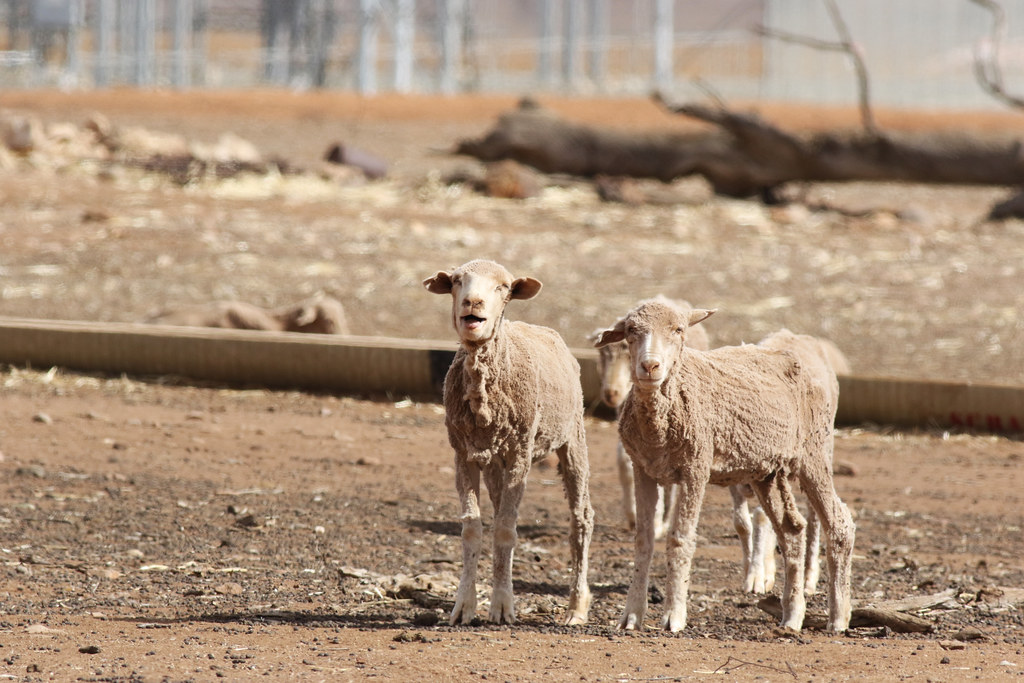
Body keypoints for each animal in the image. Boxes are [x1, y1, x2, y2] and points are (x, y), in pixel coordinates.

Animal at [424, 259, 594, 626]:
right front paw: (465, 605)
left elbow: (504, 529)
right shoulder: (464, 453)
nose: (472, 303)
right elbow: (473, 528)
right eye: (457, 281)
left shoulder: (520, 452)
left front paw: (502, 606)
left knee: (581, 518)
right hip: (494, 461)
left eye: (502, 286)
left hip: (573, 436)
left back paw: (576, 607)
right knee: (502, 504)